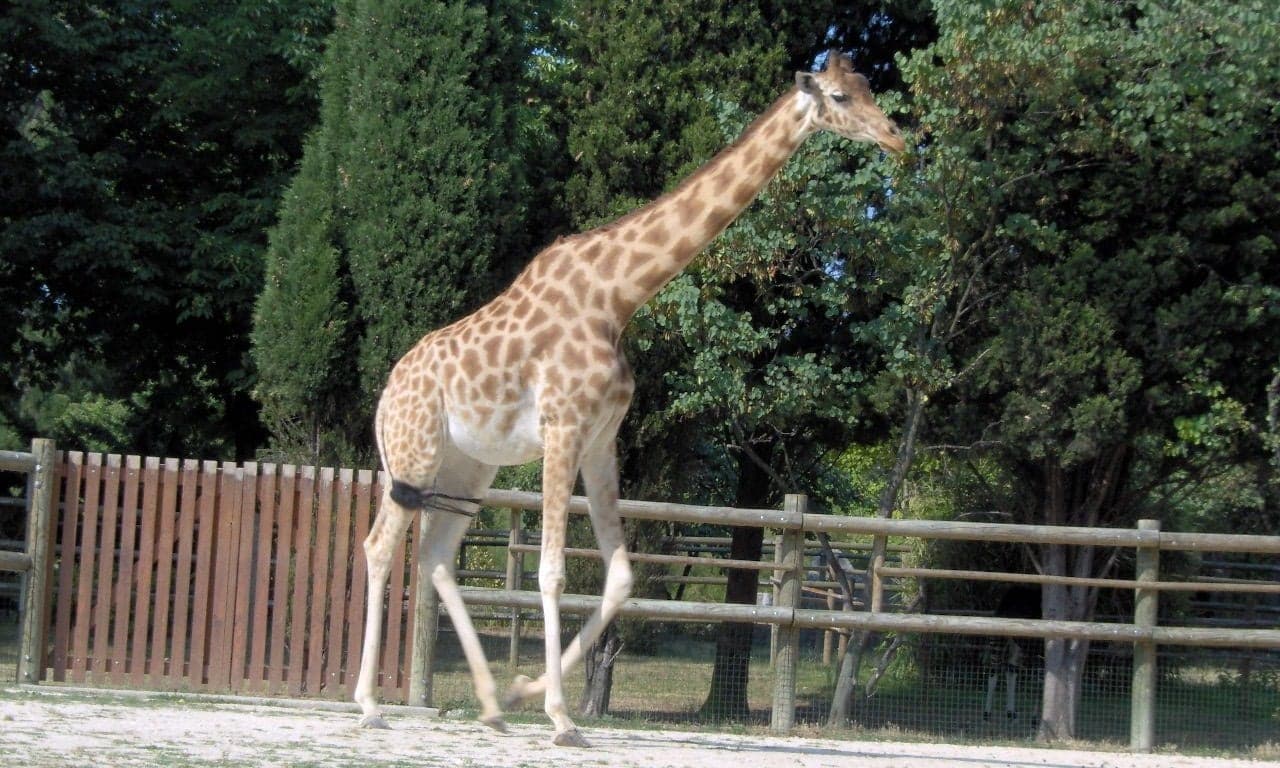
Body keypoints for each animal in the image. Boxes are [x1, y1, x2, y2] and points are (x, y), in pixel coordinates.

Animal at [354, 49, 905, 747]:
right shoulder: (563, 427)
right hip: (414, 454)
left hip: (469, 467)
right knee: (380, 548)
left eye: (869, 88)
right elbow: (552, 571)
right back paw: (369, 704)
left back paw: (492, 703)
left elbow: (620, 576)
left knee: (434, 557)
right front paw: (561, 716)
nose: (897, 138)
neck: (618, 296)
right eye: (839, 96)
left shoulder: (601, 437)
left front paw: (530, 690)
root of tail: (386, 393)